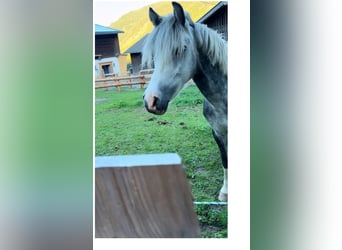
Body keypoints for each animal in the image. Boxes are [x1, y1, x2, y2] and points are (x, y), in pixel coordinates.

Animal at [142, 1, 227, 201]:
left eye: (181, 49)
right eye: (155, 55)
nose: (151, 101)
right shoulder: (218, 133)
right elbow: (225, 160)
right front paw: (225, 192)